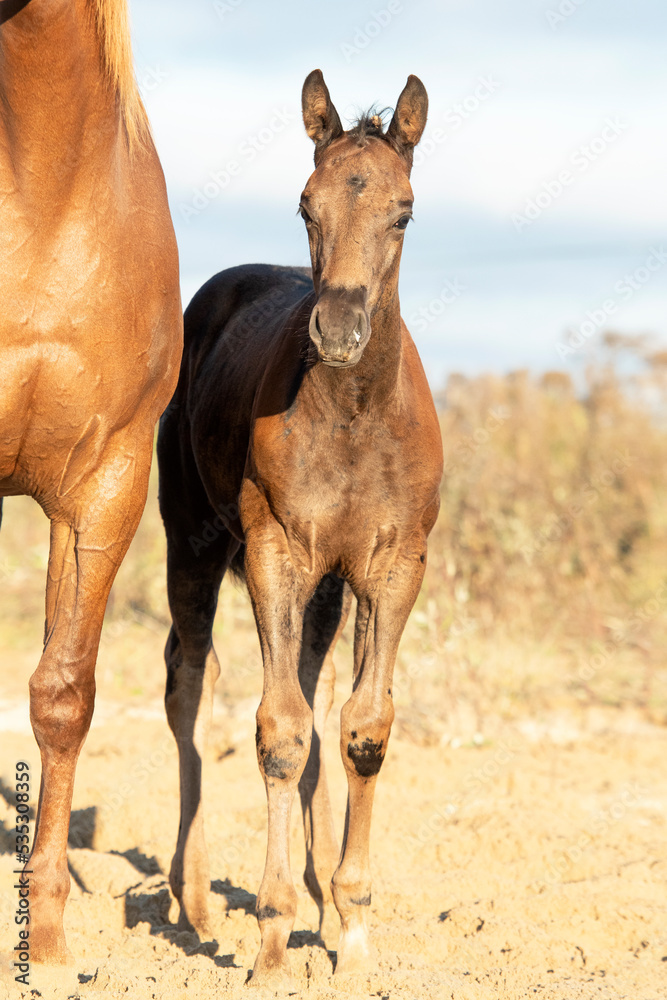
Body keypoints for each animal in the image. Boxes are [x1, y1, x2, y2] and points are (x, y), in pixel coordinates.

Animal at [159, 68, 444, 984]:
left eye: (403, 211)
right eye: (304, 204)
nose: (339, 329)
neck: (354, 413)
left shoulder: (392, 566)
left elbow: (359, 728)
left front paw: (349, 926)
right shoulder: (274, 551)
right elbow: (279, 731)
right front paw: (273, 934)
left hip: (324, 589)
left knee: (317, 702)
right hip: (192, 539)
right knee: (189, 680)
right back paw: (194, 900)